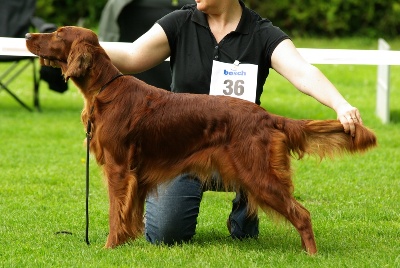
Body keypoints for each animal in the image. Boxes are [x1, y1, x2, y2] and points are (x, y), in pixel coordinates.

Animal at [25, 26, 376, 254]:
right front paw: (126, 243)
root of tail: (268, 117)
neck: (105, 89)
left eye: (57, 34)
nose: (28, 37)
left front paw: (109, 248)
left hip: (258, 174)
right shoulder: (136, 175)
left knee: (302, 214)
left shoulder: (118, 168)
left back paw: (311, 255)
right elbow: (130, 215)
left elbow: (115, 213)